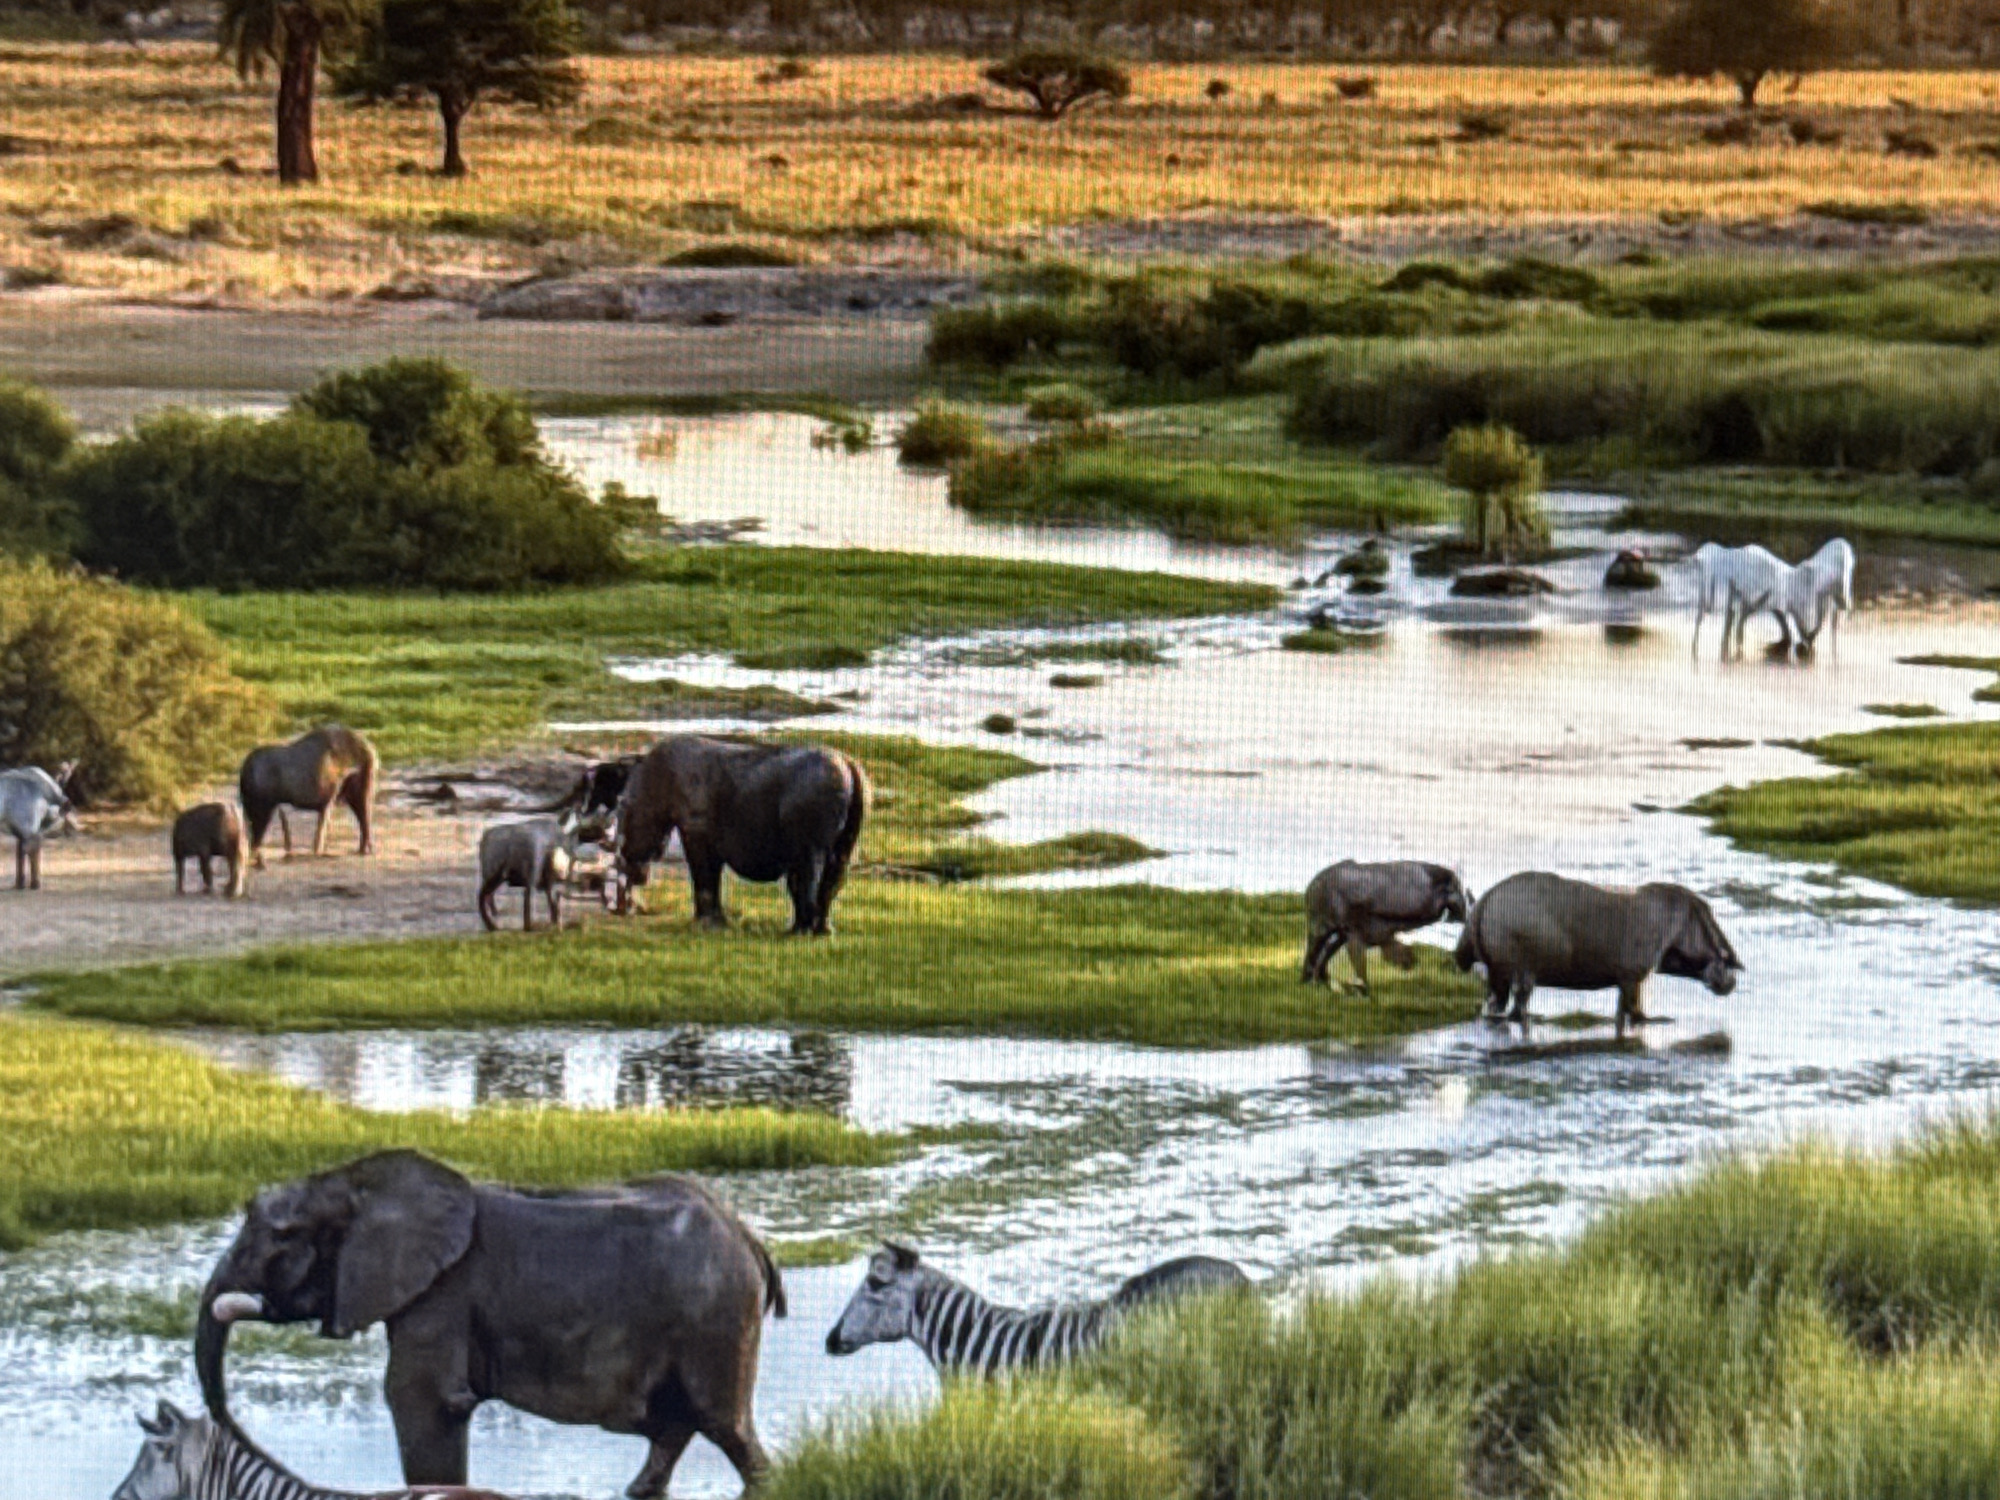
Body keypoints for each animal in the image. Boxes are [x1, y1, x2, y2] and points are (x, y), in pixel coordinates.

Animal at [195, 1150, 786, 1499]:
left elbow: (421, 1399)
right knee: (672, 1423)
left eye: (279, 1237)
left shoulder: (442, 1294)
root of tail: (750, 1238)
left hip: (715, 1315)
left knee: (723, 1424)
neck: (355, 1182)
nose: (233, 1435)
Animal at [615, 735, 869, 935]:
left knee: (808, 875)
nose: (624, 860)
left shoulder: (696, 834)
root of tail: (850, 766)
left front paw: (706, 925)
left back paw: (801, 932)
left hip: (809, 838)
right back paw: (820, 931)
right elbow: (712, 880)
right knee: (833, 876)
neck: (657, 776)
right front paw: (717, 923)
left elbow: (703, 878)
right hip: (847, 837)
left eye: (624, 808)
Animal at [1301, 860, 1470, 992]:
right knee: (1315, 948)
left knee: (1323, 951)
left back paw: (1319, 980)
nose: (1412, 963)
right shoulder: (1356, 931)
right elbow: (1360, 962)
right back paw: (1310, 980)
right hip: (1322, 927)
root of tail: (1311, 886)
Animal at [1454, 871, 1742, 1036]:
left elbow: (1621, 1012)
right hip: (1521, 970)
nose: (1731, 980)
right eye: (1723, 953)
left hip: (1498, 974)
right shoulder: (1632, 976)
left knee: (1497, 1005)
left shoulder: (1625, 979)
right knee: (1517, 1006)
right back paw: (1532, 1018)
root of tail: (1485, 901)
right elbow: (1636, 1011)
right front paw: (1657, 1020)